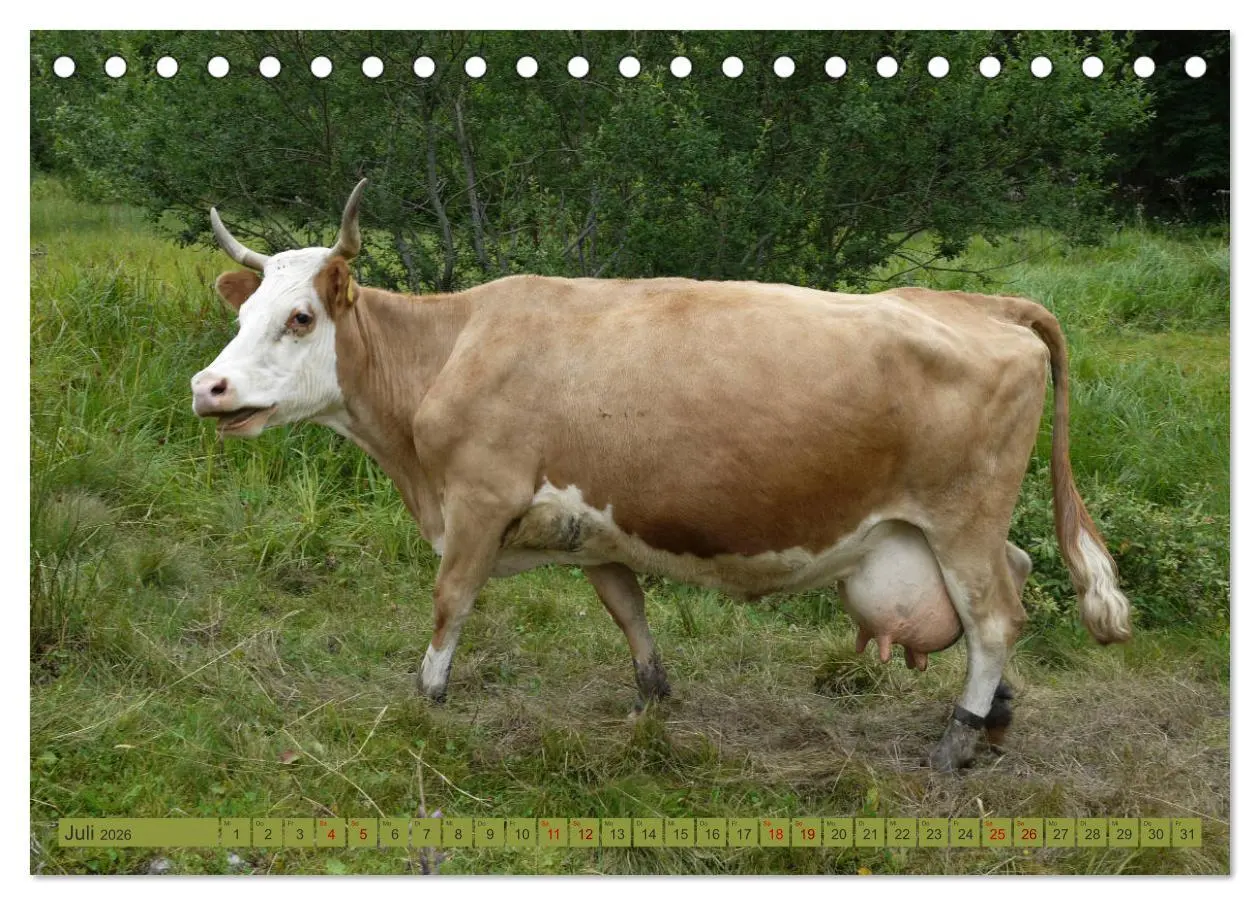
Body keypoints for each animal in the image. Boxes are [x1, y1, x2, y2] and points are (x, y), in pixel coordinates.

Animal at [191, 180, 1131, 771]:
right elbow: (627, 608)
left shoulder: (477, 503)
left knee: (996, 617)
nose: (209, 386)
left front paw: (428, 698)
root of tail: (983, 304)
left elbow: (449, 602)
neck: (450, 351)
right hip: (950, 531)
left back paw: (958, 736)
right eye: (241, 313)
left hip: (961, 519)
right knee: (1013, 581)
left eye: (300, 317)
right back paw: (997, 716)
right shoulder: (595, 522)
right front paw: (651, 702)